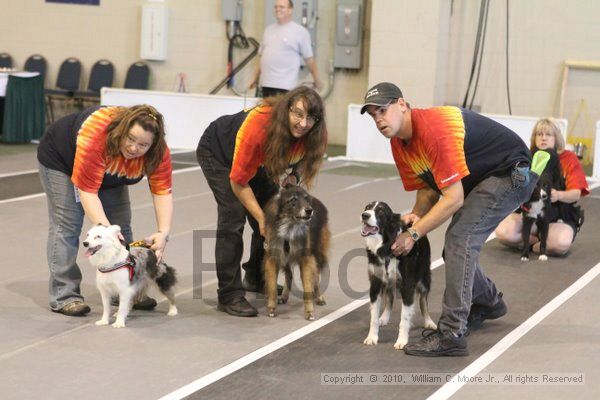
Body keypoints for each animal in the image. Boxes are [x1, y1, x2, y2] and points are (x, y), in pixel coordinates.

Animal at [262, 186, 330, 320]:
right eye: (293, 199)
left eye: (306, 198)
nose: (309, 210)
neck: (289, 226)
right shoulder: (274, 257)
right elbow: (272, 286)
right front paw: (271, 309)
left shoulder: (306, 258)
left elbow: (308, 285)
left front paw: (309, 312)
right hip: (286, 258)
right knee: (289, 275)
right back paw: (284, 296)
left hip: (317, 252)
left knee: (316, 276)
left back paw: (319, 297)